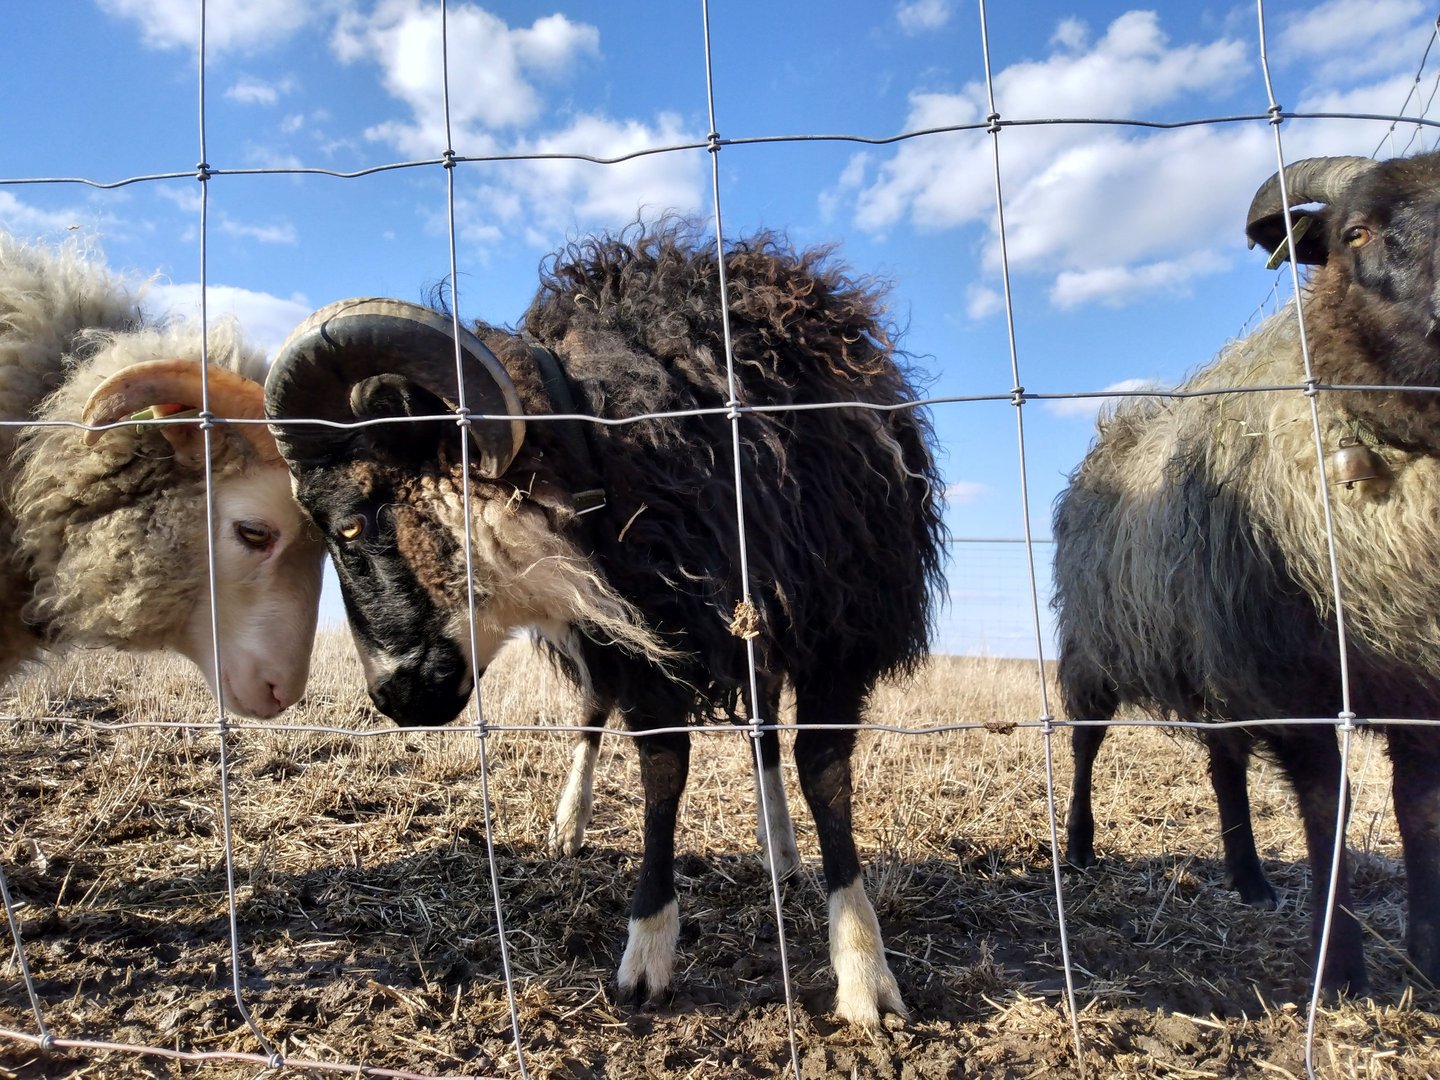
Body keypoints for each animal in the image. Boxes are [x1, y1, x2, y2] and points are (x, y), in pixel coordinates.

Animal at [263, 221, 946, 1027]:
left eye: (351, 521)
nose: (392, 699)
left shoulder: (839, 625)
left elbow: (823, 772)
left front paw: (863, 968)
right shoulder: (642, 636)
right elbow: (663, 770)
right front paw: (648, 949)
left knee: (764, 735)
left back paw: (779, 850)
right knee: (595, 713)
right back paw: (572, 824)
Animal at [1052, 151, 1440, 998]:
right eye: (1353, 233)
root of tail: (1118, 426)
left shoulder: (1417, 688)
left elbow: (1418, 810)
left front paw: (1428, 954)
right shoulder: (1293, 680)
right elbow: (1329, 812)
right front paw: (1341, 970)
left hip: (1206, 653)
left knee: (1223, 763)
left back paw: (1249, 876)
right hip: (1095, 646)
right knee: (1086, 744)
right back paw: (1079, 846)